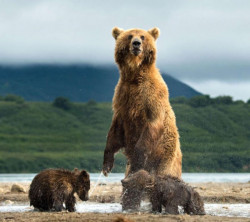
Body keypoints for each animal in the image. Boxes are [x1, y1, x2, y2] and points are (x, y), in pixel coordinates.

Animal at [101, 26, 182, 179]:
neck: (134, 75)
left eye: (143, 36)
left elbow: (152, 123)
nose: (136, 43)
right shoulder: (122, 97)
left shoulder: (151, 95)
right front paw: (107, 165)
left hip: (166, 159)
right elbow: (115, 129)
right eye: (130, 36)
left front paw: (137, 160)